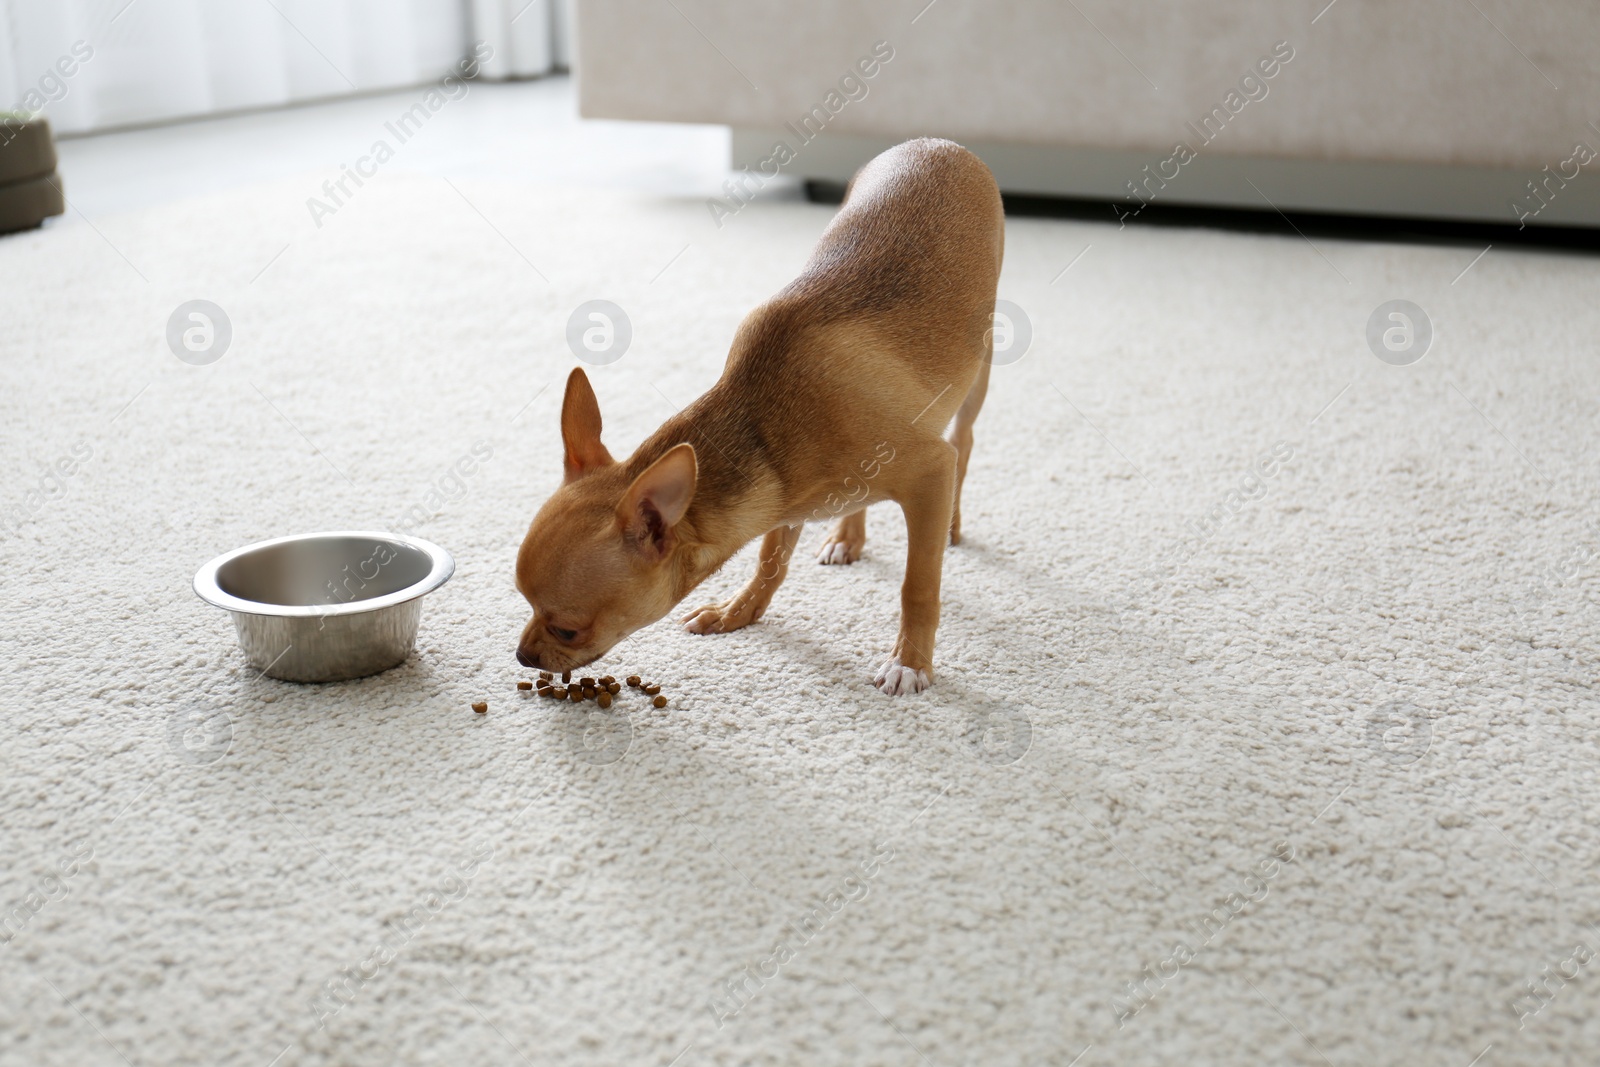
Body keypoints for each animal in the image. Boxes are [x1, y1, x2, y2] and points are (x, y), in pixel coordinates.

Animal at [518, 137, 1004, 697]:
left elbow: (917, 585)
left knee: (964, 443)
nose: (522, 656)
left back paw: (950, 523)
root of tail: (936, 144)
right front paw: (740, 611)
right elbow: (771, 557)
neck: (762, 423)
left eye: (567, 629)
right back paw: (848, 535)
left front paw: (910, 662)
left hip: (979, 371)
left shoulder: (929, 473)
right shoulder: (783, 497)